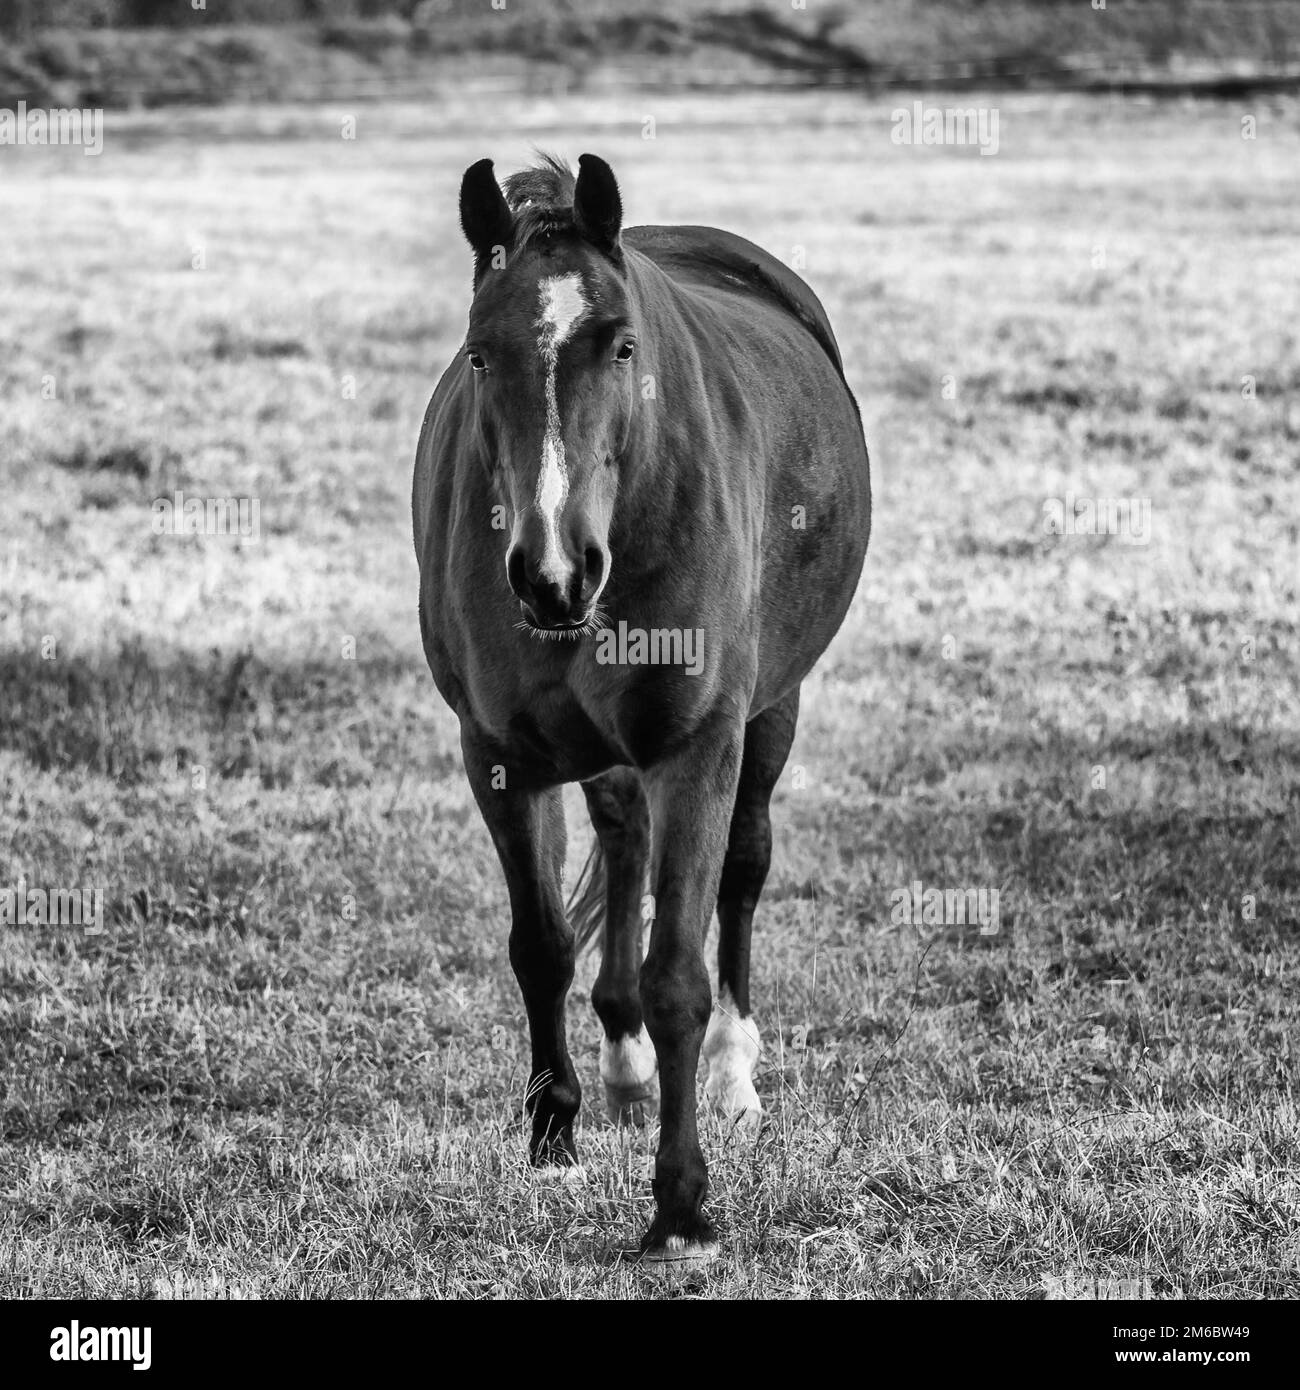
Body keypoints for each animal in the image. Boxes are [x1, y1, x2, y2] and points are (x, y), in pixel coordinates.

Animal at [412, 152, 871, 1266]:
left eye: (621, 345)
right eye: (480, 355)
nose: (551, 573)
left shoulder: (698, 747)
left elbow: (680, 976)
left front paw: (683, 1209)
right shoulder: (498, 755)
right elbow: (539, 944)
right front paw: (553, 1136)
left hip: (771, 713)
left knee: (743, 874)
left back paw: (734, 1077)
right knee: (622, 841)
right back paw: (620, 1069)